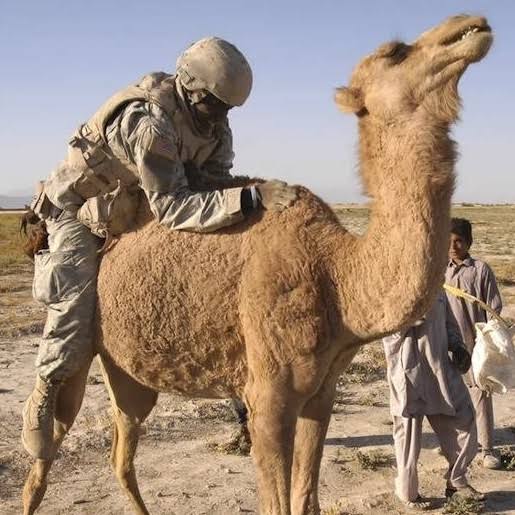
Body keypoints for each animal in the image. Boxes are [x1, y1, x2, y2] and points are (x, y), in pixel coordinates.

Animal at [22, 14, 494, 515]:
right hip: (79, 314)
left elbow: (306, 498)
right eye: (396, 52)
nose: (471, 23)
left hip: (129, 370)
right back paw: (37, 429)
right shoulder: (267, 399)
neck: (339, 274)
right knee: (51, 430)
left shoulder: (320, 395)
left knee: (122, 450)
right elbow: (277, 501)